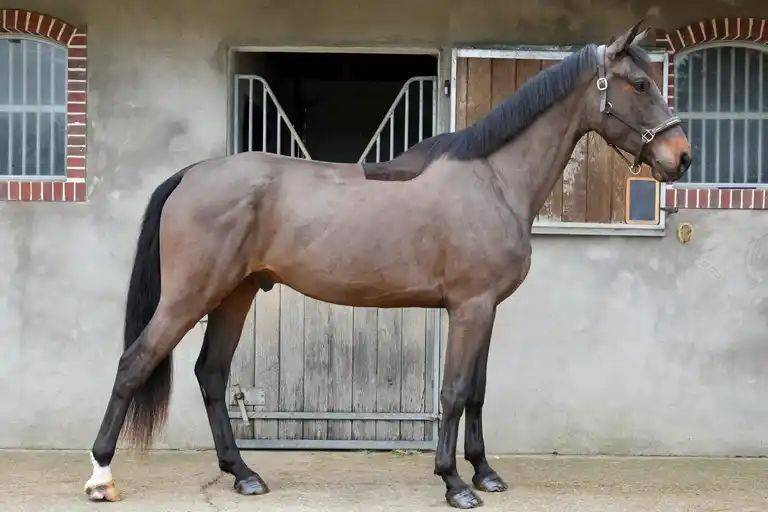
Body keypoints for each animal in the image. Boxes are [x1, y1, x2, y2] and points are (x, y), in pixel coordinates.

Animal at [85, 23, 690, 509]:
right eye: (639, 85)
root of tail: (191, 174)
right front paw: (455, 484)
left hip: (236, 294)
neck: (494, 180)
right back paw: (101, 476)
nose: (681, 157)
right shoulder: (469, 307)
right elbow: (453, 391)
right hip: (190, 296)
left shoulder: (486, 309)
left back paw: (243, 474)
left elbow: (477, 390)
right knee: (134, 363)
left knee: (211, 373)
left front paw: (485, 472)